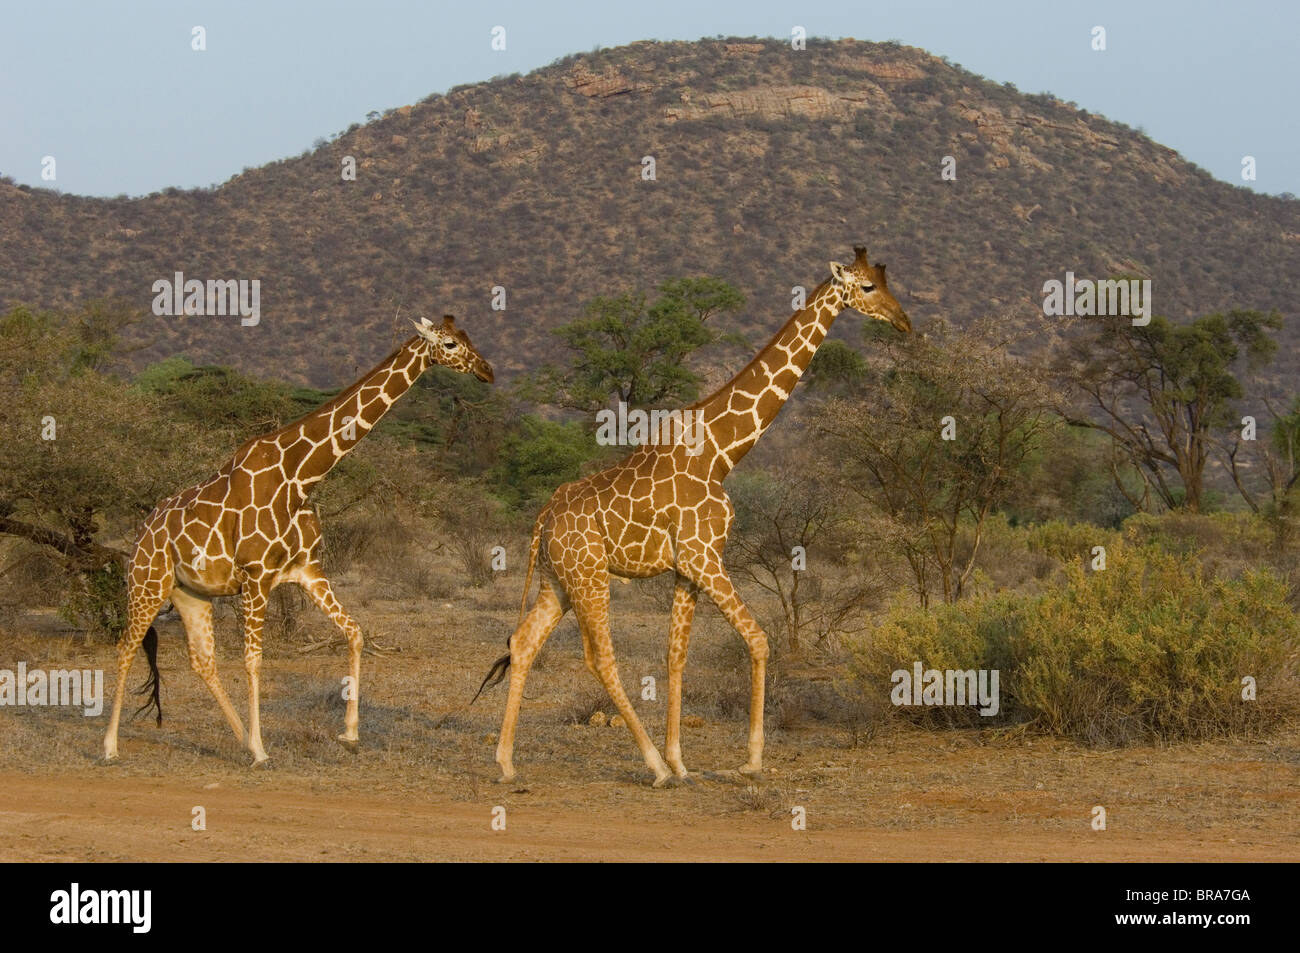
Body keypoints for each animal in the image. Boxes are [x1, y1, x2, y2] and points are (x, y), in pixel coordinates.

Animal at [102, 315, 491, 764]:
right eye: (449, 344)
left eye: (467, 336)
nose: (487, 371)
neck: (301, 477)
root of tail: (141, 531)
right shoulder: (255, 577)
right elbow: (254, 661)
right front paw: (261, 750)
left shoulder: (307, 570)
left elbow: (355, 633)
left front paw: (349, 732)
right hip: (147, 583)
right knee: (125, 647)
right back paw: (111, 746)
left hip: (190, 593)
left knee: (202, 661)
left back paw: (239, 736)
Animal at [480, 247, 915, 790]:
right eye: (868, 287)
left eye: (887, 280)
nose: (905, 322)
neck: (721, 452)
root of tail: (543, 518)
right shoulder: (705, 557)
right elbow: (759, 640)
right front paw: (748, 760)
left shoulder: (687, 568)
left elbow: (676, 656)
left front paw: (682, 760)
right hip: (589, 575)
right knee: (600, 658)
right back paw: (650, 767)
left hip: (556, 580)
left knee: (522, 643)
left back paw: (506, 763)